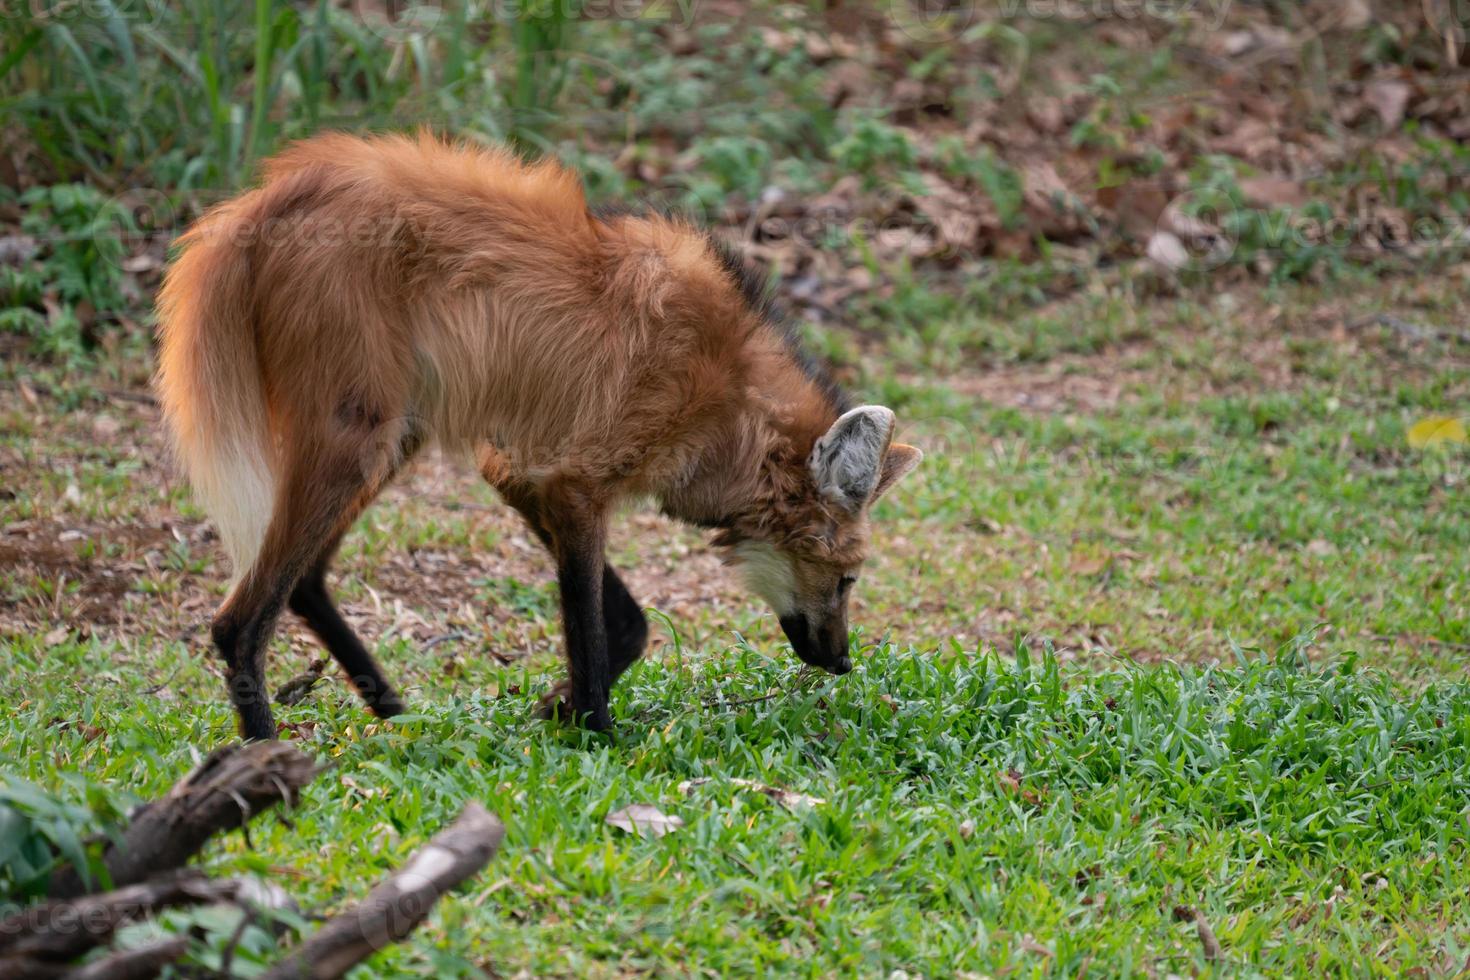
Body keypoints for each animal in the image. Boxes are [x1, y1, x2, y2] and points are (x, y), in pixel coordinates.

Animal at [155, 132, 911, 743]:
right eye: (847, 579)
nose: (843, 660)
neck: (731, 395)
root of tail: (260, 202)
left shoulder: (522, 470)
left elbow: (625, 622)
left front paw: (560, 708)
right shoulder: (576, 481)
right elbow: (592, 628)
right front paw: (600, 736)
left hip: (395, 433)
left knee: (304, 580)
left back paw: (394, 713)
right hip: (356, 437)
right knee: (239, 619)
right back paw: (266, 762)